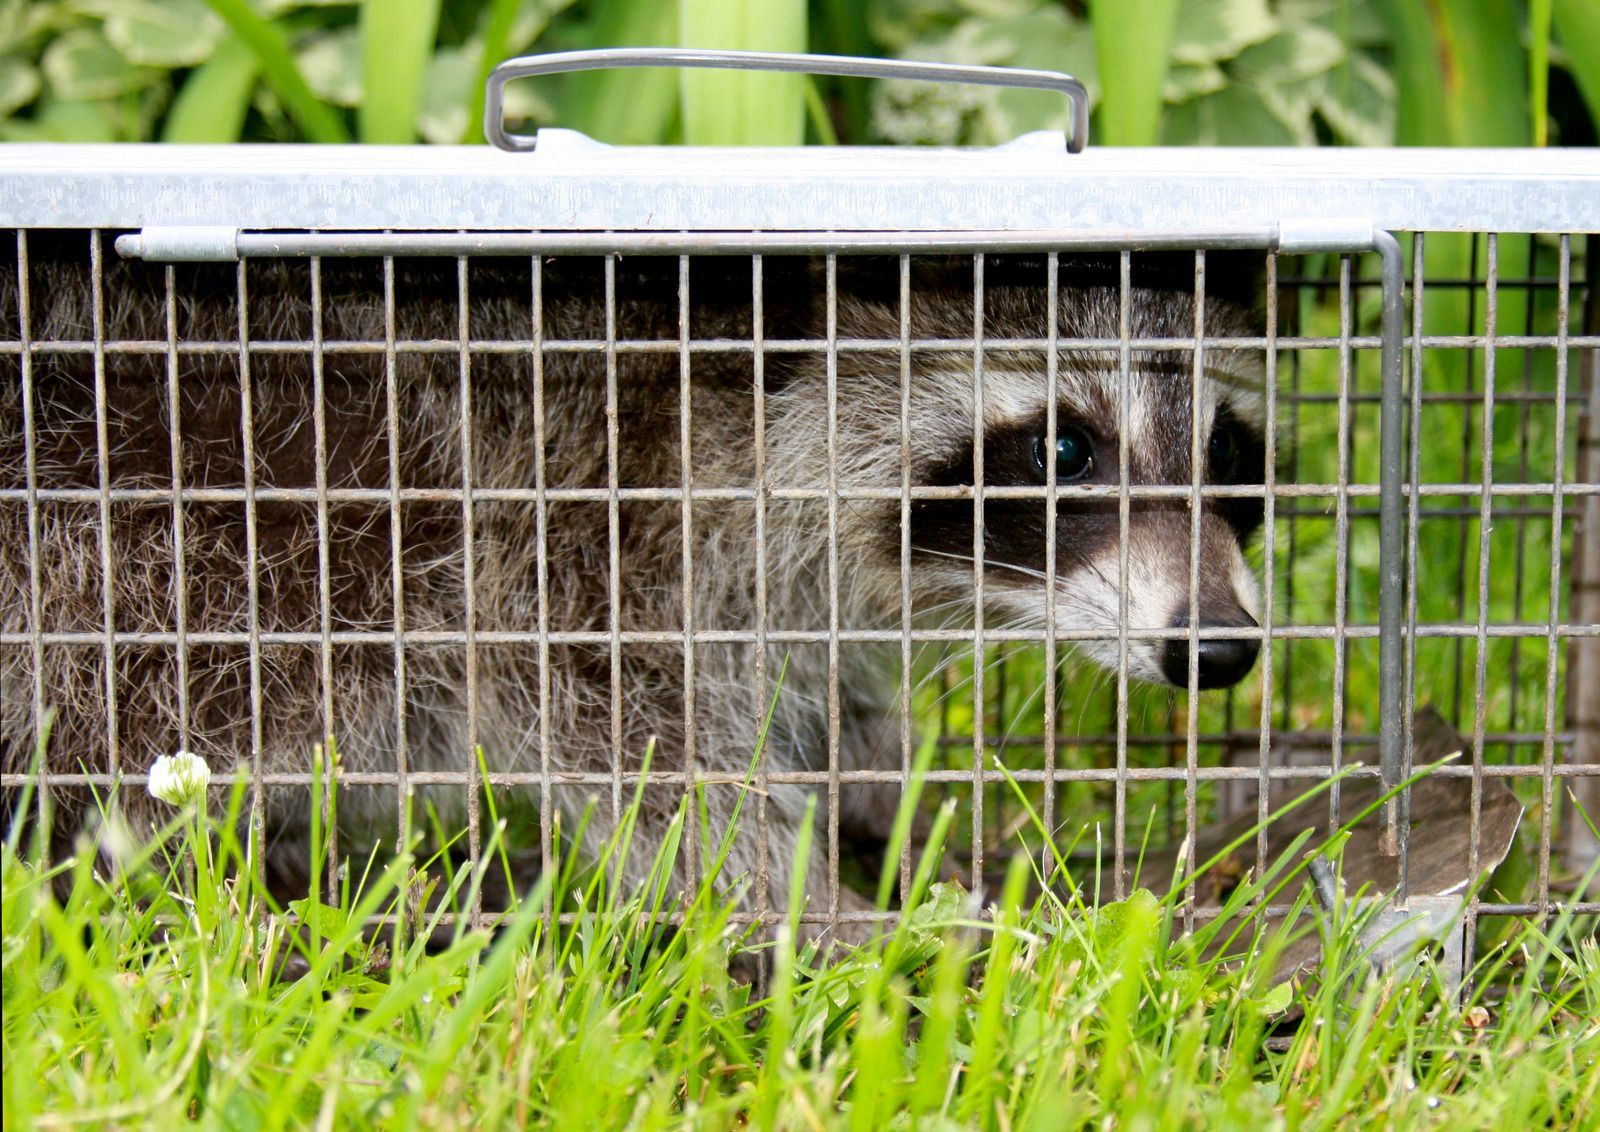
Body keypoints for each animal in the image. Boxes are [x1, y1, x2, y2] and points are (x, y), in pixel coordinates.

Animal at [1, 235, 1265, 936]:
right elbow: (640, 744)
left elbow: (824, 705)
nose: (1217, 645)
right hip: (153, 527)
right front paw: (816, 908)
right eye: (1063, 450)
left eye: (1228, 451)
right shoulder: (568, 524)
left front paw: (901, 804)